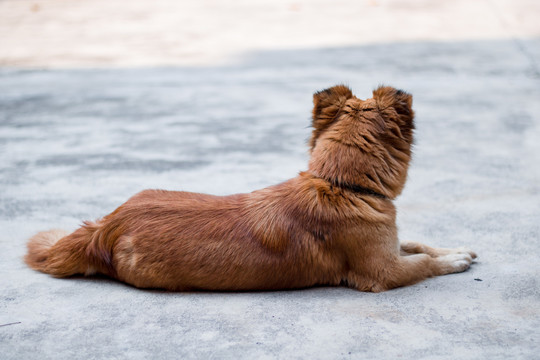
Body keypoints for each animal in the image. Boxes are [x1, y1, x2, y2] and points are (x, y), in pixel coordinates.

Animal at [25, 85, 476, 292]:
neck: (339, 184)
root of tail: (104, 227)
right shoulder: (381, 272)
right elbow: (421, 262)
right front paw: (453, 261)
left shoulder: (390, 245)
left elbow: (417, 242)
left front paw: (456, 248)